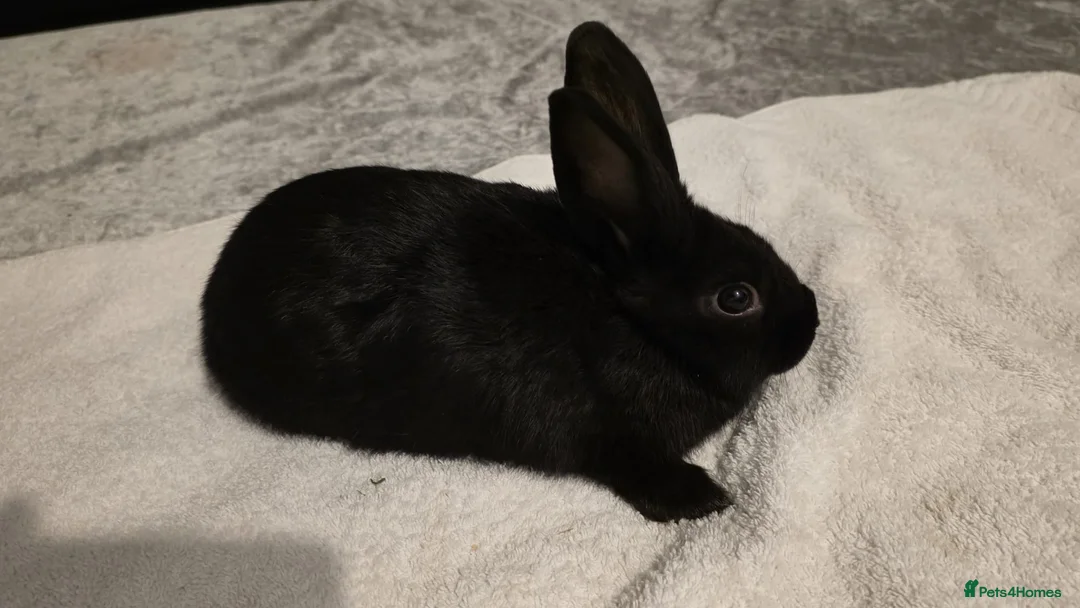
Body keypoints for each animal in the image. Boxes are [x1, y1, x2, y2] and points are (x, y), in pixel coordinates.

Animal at [200, 21, 819, 523]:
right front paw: (703, 498)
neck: (628, 320)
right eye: (736, 297)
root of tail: (221, 283)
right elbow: (633, 465)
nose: (811, 323)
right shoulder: (606, 436)